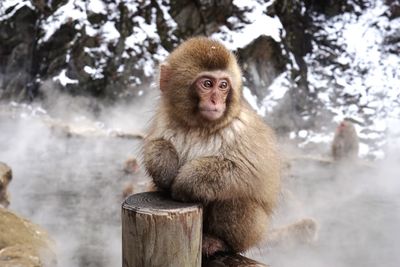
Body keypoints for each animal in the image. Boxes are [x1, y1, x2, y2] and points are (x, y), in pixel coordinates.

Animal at [142, 36, 280, 256]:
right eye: (207, 84)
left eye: (223, 85)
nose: (216, 101)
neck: (198, 126)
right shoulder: (166, 118)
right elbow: (155, 143)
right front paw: (164, 164)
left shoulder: (242, 127)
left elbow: (248, 170)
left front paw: (185, 181)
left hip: (254, 231)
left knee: (235, 197)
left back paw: (219, 242)